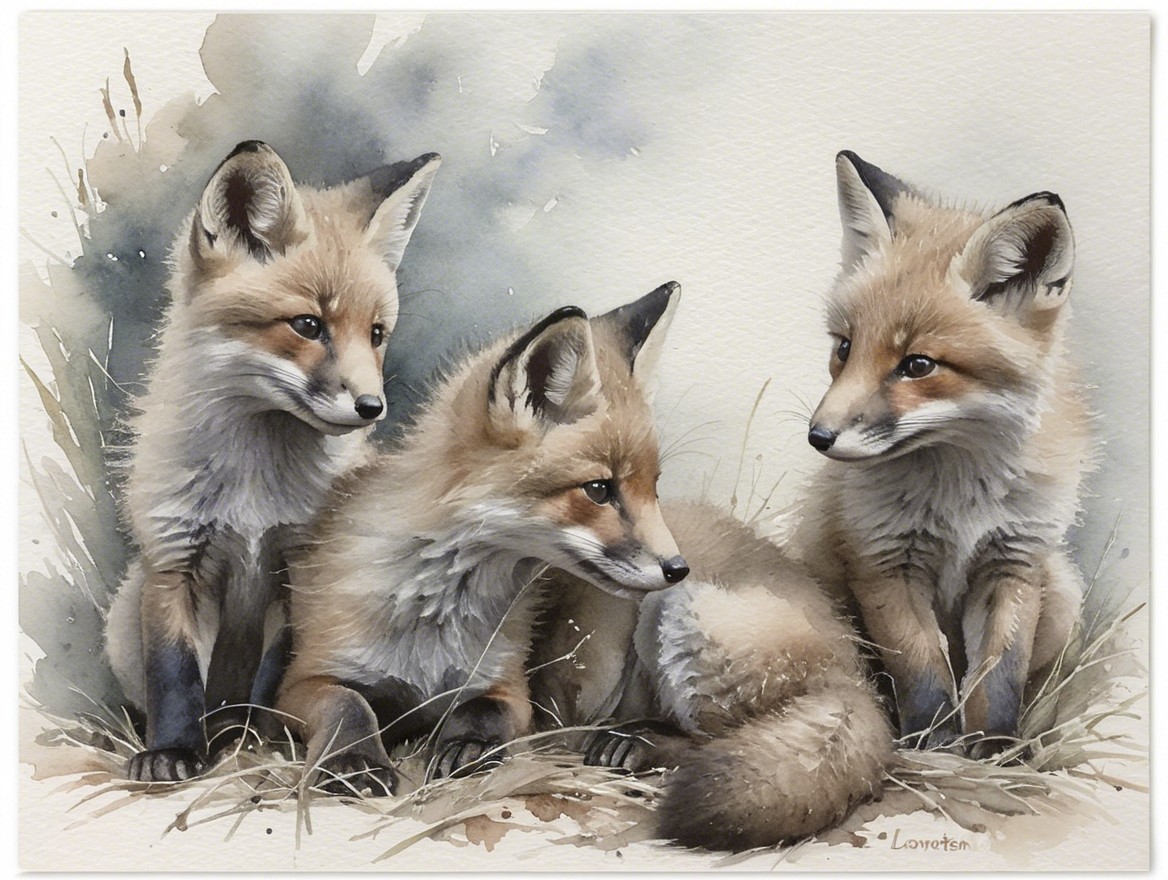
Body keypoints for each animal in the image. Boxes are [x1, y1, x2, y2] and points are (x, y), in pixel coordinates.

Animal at [103, 140, 441, 782]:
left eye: (376, 334)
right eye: (308, 325)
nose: (371, 407)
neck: (254, 489)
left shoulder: (301, 567)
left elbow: (276, 677)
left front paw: (265, 742)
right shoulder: (174, 558)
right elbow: (174, 675)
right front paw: (173, 751)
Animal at [275, 283, 692, 795]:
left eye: (653, 489)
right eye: (599, 489)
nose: (678, 569)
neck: (436, 620)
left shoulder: (508, 687)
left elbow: (483, 710)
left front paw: (469, 746)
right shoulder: (301, 681)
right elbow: (348, 706)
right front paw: (354, 762)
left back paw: (634, 742)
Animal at [799, 150, 1089, 756]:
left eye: (918, 365)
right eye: (844, 348)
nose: (818, 437)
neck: (961, 497)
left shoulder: (1013, 562)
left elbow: (999, 673)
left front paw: (995, 749)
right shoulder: (884, 562)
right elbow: (922, 668)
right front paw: (932, 746)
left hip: (1062, 592)